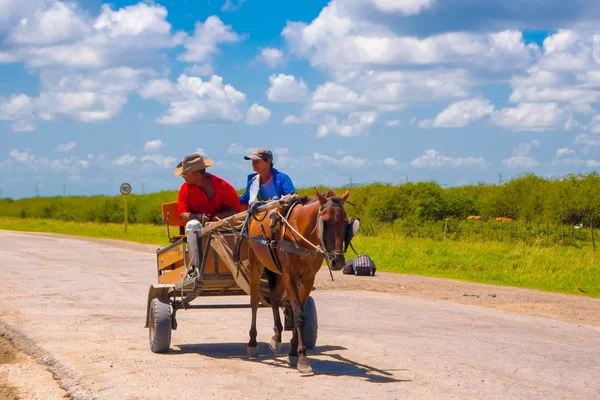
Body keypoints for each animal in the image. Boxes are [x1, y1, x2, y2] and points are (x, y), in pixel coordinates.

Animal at [246, 189, 354, 374]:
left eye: (345, 222)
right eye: (324, 221)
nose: (337, 261)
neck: (301, 235)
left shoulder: (307, 279)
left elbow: (299, 311)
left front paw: (293, 353)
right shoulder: (290, 276)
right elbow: (298, 314)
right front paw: (303, 358)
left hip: (279, 273)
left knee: (275, 297)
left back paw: (277, 336)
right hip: (256, 263)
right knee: (254, 301)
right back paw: (252, 342)